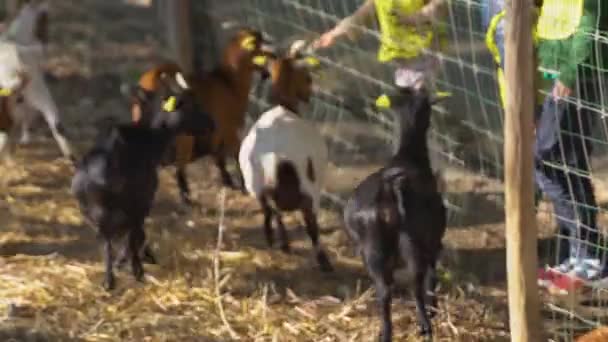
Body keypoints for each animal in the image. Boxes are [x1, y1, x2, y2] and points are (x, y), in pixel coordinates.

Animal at [72, 73, 214, 292]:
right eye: (189, 104)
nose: (211, 123)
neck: (151, 139)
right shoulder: (144, 199)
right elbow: (136, 234)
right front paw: (136, 264)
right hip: (127, 205)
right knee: (123, 236)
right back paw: (129, 273)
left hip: (92, 211)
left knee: (105, 240)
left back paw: (109, 279)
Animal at [133, 28, 276, 204]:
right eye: (258, 44)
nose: (274, 55)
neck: (229, 83)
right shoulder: (228, 130)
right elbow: (236, 157)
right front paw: (243, 188)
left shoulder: (217, 134)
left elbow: (220, 160)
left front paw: (229, 185)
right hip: (184, 139)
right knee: (180, 169)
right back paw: (186, 200)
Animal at [342, 87, 446, 340]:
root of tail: (391, 189)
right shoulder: (433, 240)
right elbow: (432, 275)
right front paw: (434, 310)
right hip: (412, 240)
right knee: (416, 281)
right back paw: (425, 325)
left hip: (373, 248)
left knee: (384, 290)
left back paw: (386, 333)